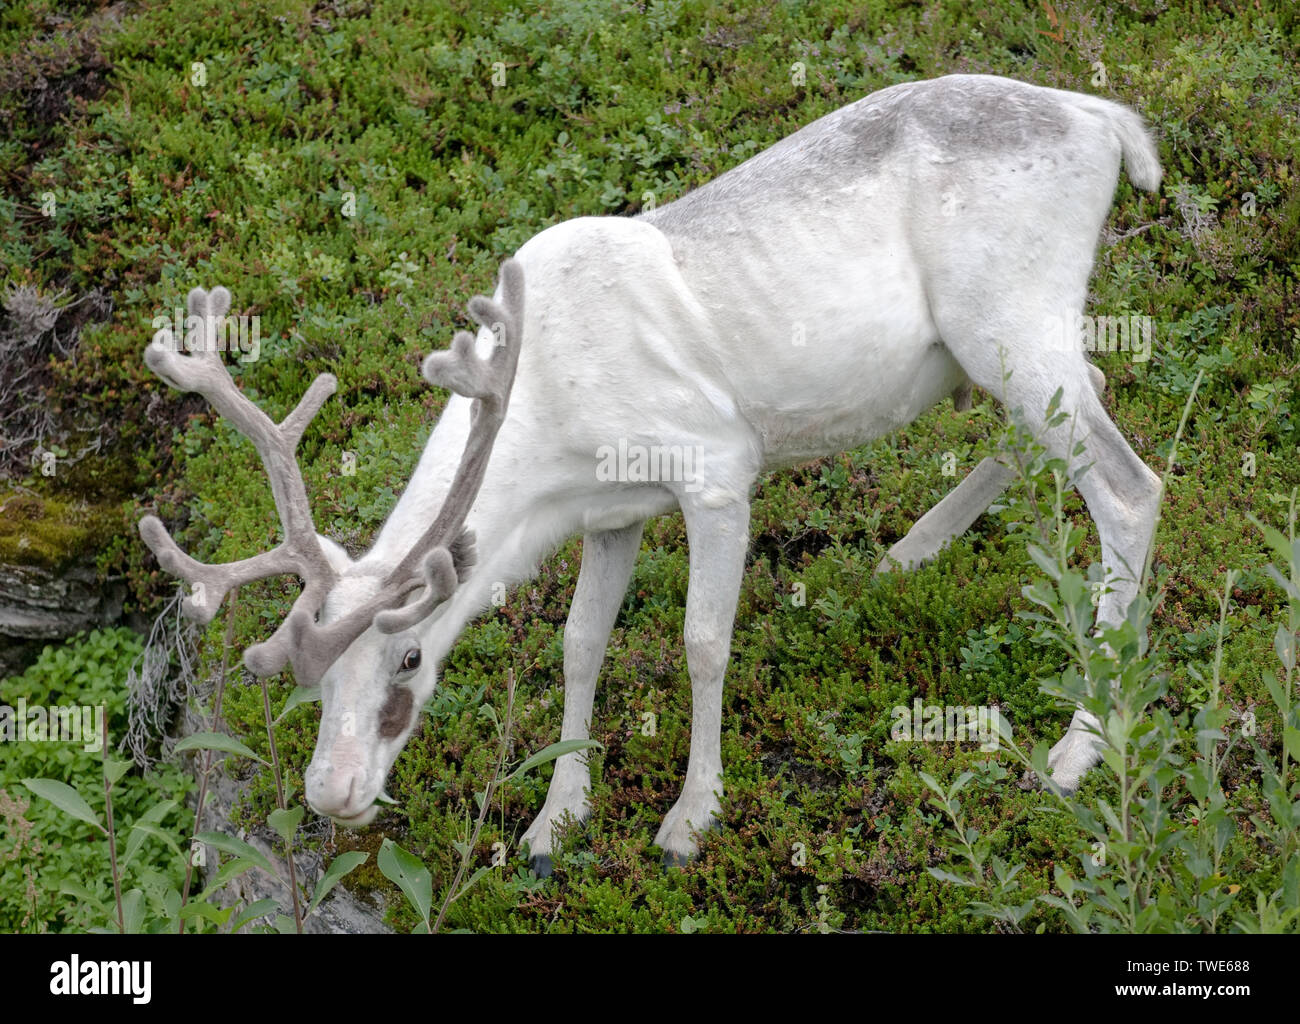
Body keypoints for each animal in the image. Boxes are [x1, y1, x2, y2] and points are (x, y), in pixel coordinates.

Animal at [140, 74, 1164, 873]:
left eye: (411, 655)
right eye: (303, 676)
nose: (333, 792)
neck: (546, 437)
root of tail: (1108, 121)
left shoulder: (716, 468)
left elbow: (702, 642)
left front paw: (690, 818)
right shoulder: (611, 512)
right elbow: (579, 643)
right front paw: (554, 819)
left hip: (1010, 320)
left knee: (1131, 487)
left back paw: (1080, 746)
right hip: (997, 348)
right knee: (1092, 395)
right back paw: (907, 554)